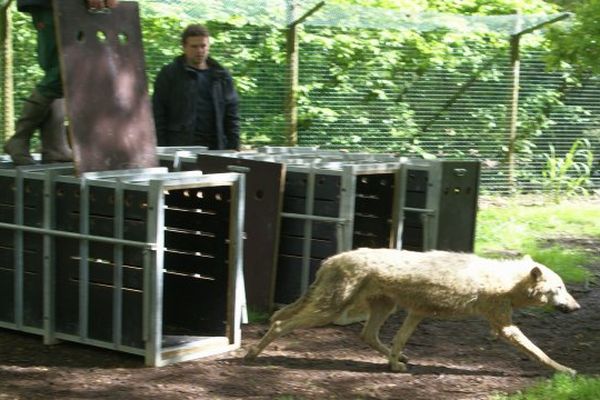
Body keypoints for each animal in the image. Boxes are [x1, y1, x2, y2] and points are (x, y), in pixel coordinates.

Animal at [245, 247, 580, 376]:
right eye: (561, 288)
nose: (577, 307)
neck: (504, 281)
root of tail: (331, 259)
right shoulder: (504, 328)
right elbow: (539, 352)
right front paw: (565, 370)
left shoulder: (416, 313)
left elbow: (399, 341)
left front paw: (394, 365)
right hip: (329, 311)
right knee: (279, 325)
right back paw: (251, 355)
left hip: (384, 309)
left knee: (367, 336)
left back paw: (401, 361)